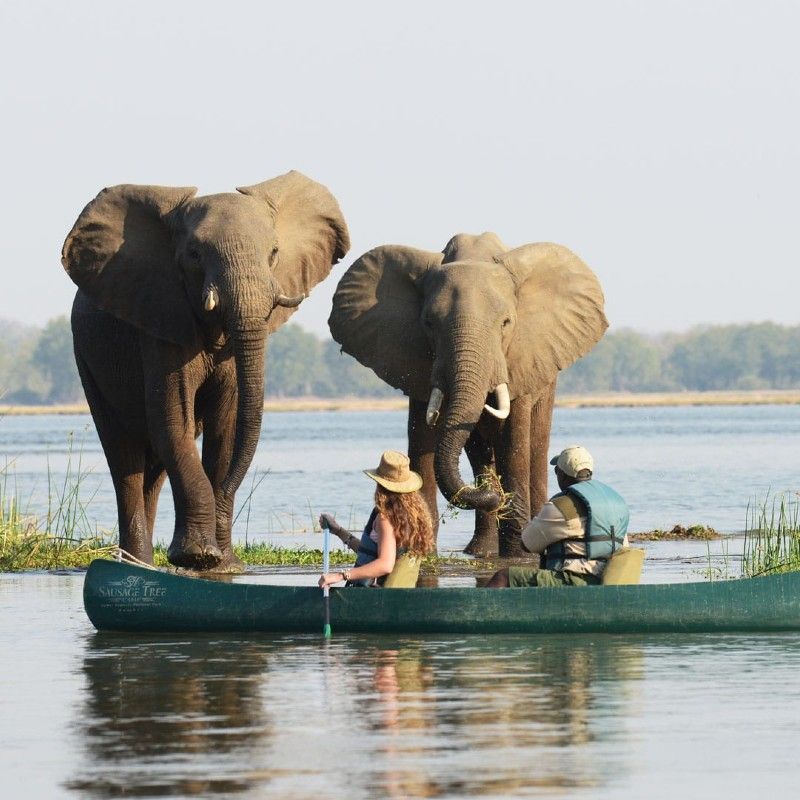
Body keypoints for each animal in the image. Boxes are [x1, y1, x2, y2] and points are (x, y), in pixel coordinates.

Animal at [62, 171, 349, 571]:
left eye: (274, 253)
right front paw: (198, 557)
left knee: (153, 465)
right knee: (125, 455)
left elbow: (225, 427)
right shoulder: (161, 321)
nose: (223, 504)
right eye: (195, 255)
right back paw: (136, 564)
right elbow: (173, 420)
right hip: (88, 361)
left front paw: (224, 565)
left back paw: (145, 563)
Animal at [329, 232, 607, 556]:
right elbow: (421, 436)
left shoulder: (521, 358)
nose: (493, 495)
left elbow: (514, 439)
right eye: (429, 323)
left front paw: (519, 556)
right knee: (478, 450)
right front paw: (422, 553)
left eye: (506, 323)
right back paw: (481, 550)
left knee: (536, 443)